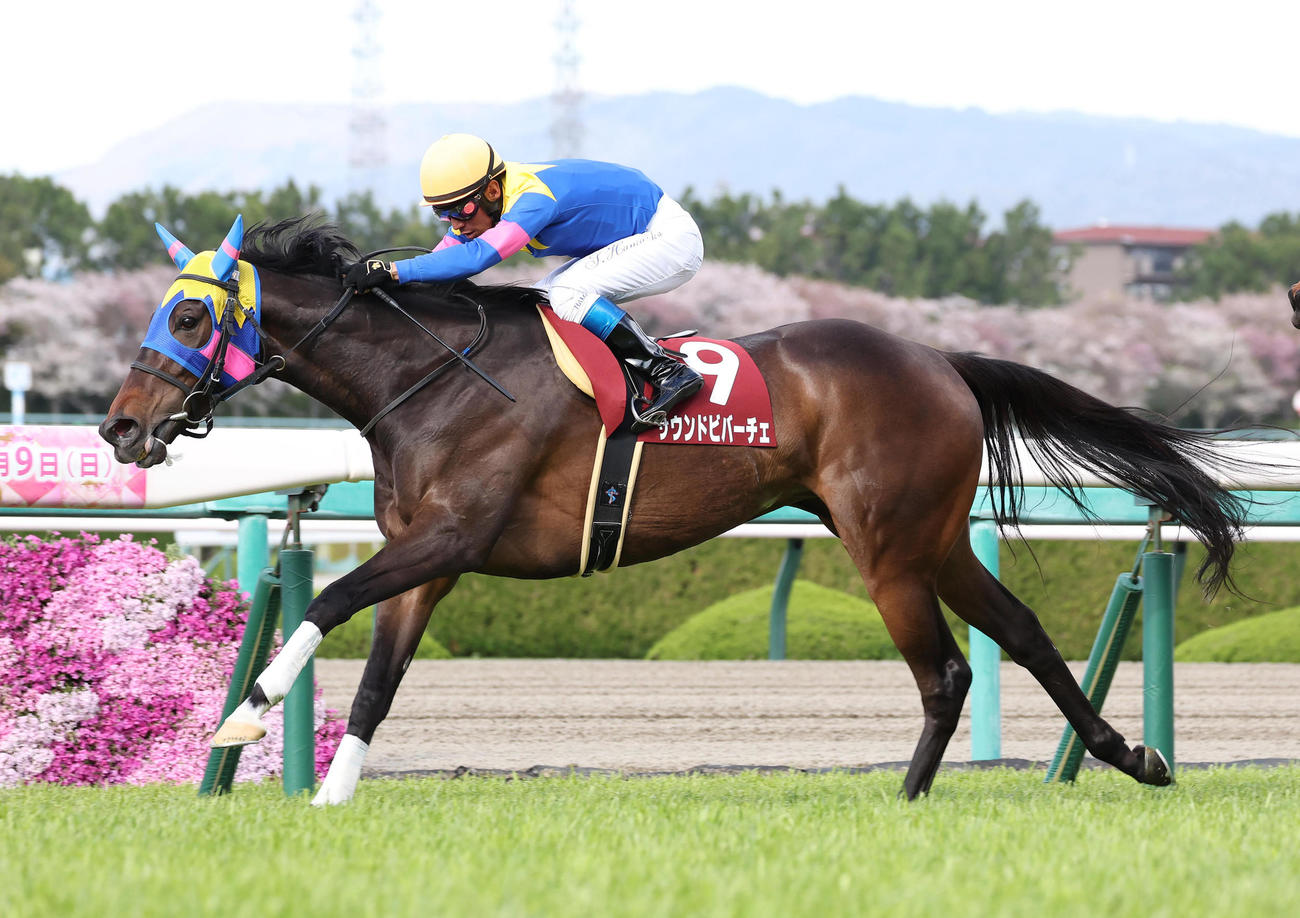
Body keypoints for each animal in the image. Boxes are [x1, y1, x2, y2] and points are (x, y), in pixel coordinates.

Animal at [101, 215, 1248, 805]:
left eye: (190, 315)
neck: (433, 376)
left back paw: (908, 800)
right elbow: (380, 677)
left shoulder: (454, 534)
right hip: (929, 537)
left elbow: (326, 603)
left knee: (948, 670)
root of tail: (938, 358)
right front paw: (332, 799)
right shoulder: (429, 557)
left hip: (886, 545)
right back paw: (1134, 758)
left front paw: (244, 713)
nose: (120, 428)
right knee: (1022, 632)